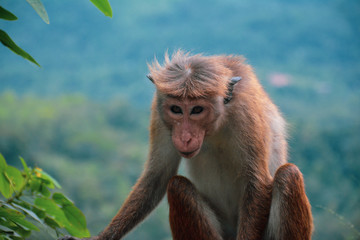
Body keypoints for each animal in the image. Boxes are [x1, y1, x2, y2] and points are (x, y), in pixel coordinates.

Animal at [60, 50, 314, 240]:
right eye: (176, 109)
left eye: (197, 110)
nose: (184, 137)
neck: (216, 125)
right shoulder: (160, 114)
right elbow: (158, 176)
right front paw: (102, 237)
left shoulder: (246, 114)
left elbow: (257, 183)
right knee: (177, 187)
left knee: (287, 175)